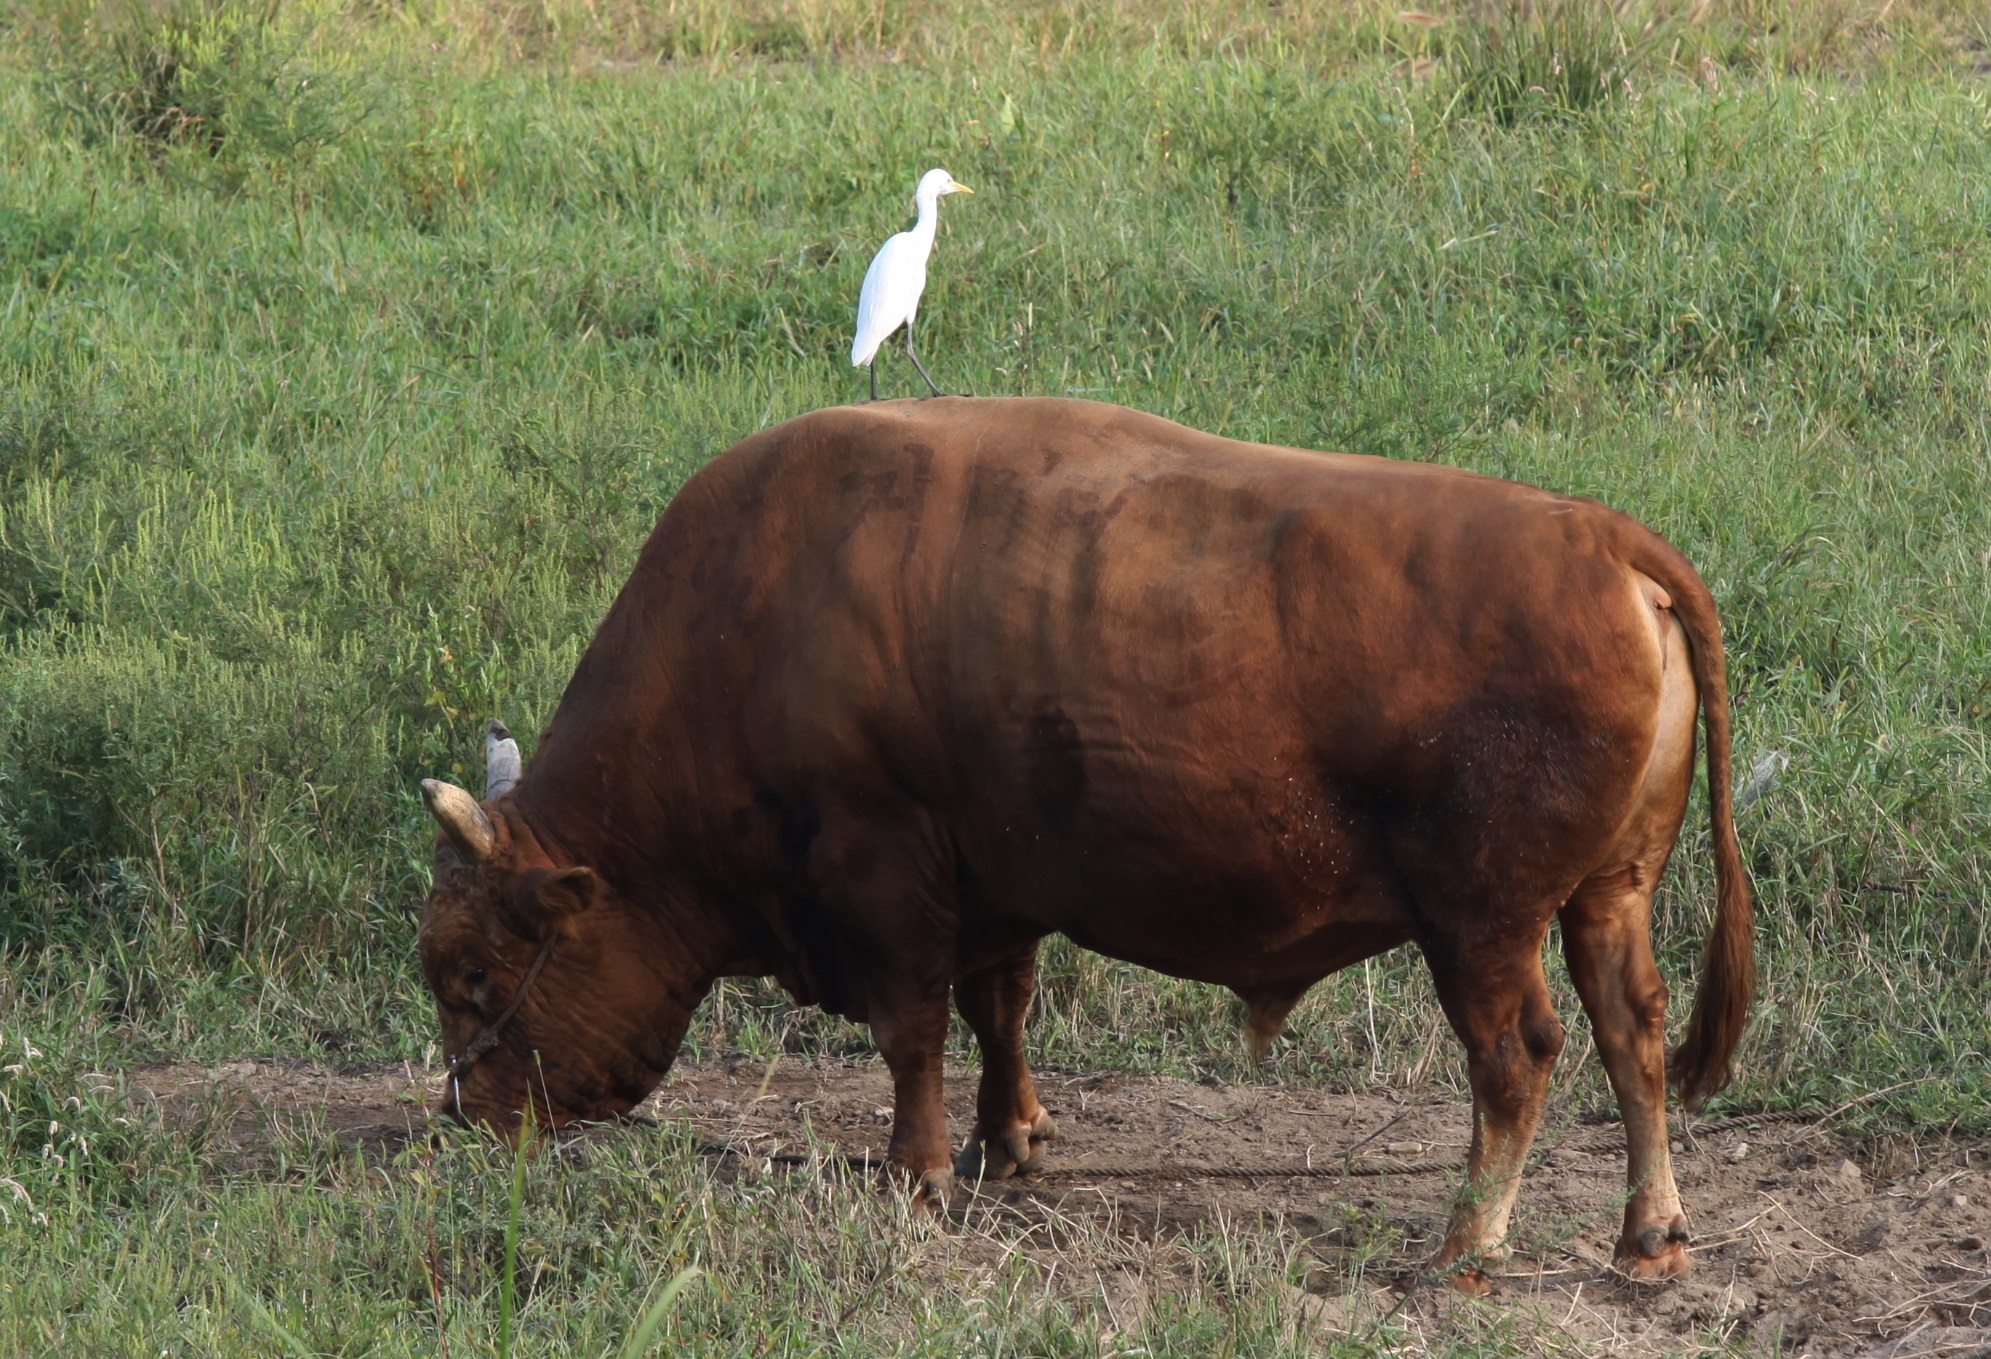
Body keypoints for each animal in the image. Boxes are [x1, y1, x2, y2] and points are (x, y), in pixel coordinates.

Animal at [416, 397, 1753, 1290]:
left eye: (473, 972)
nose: (464, 1116)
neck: (756, 615)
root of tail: (1606, 543)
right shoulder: (993, 891)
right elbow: (996, 1011)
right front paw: (1008, 1143)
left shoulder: (883, 881)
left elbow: (910, 1035)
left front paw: (917, 1172)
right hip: (1605, 898)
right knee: (1630, 1036)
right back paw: (1648, 1238)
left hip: (1478, 924)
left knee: (1516, 1058)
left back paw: (1463, 1246)